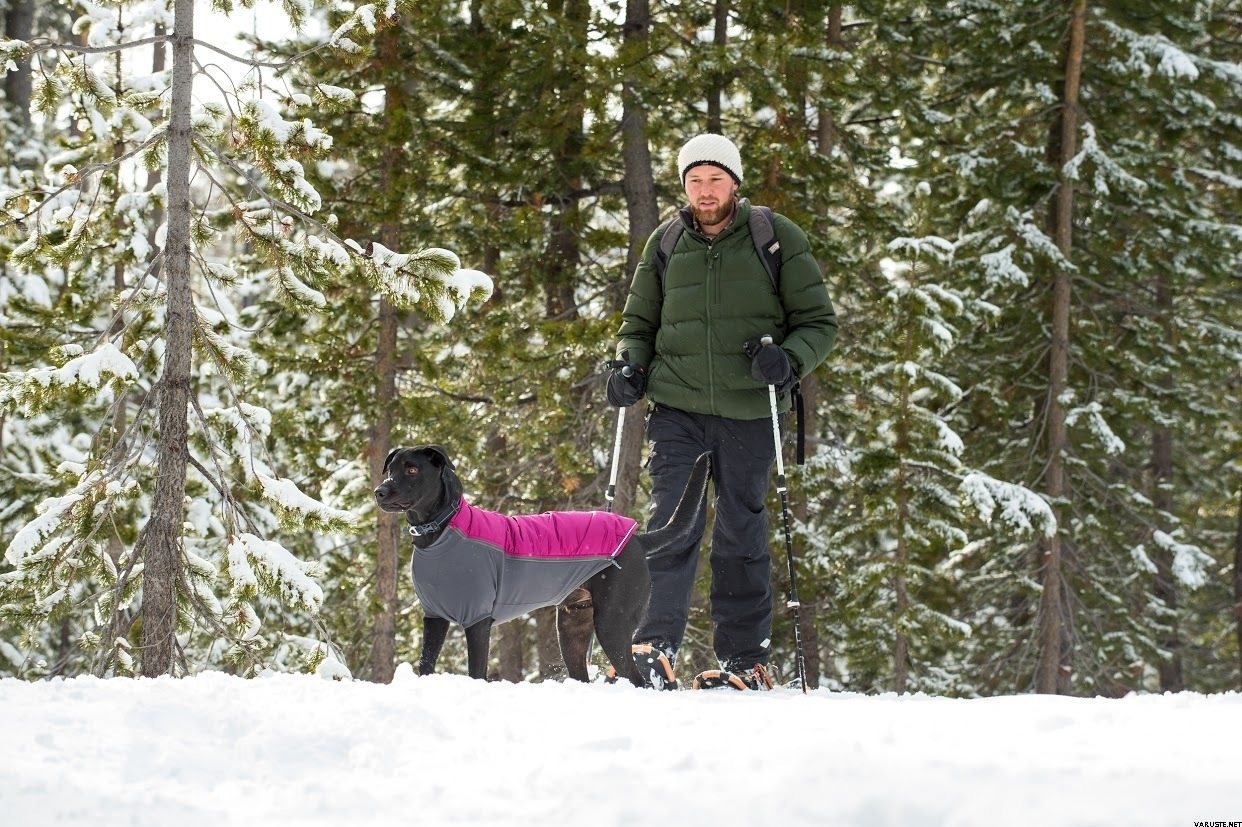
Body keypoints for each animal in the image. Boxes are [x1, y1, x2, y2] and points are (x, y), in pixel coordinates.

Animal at [373, 444, 709, 686]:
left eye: (412, 469)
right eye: (391, 469)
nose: (379, 491)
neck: (440, 530)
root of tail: (637, 539)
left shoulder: (477, 619)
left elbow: (477, 670)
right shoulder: (434, 616)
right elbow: (426, 663)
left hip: (613, 622)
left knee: (637, 679)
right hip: (572, 627)